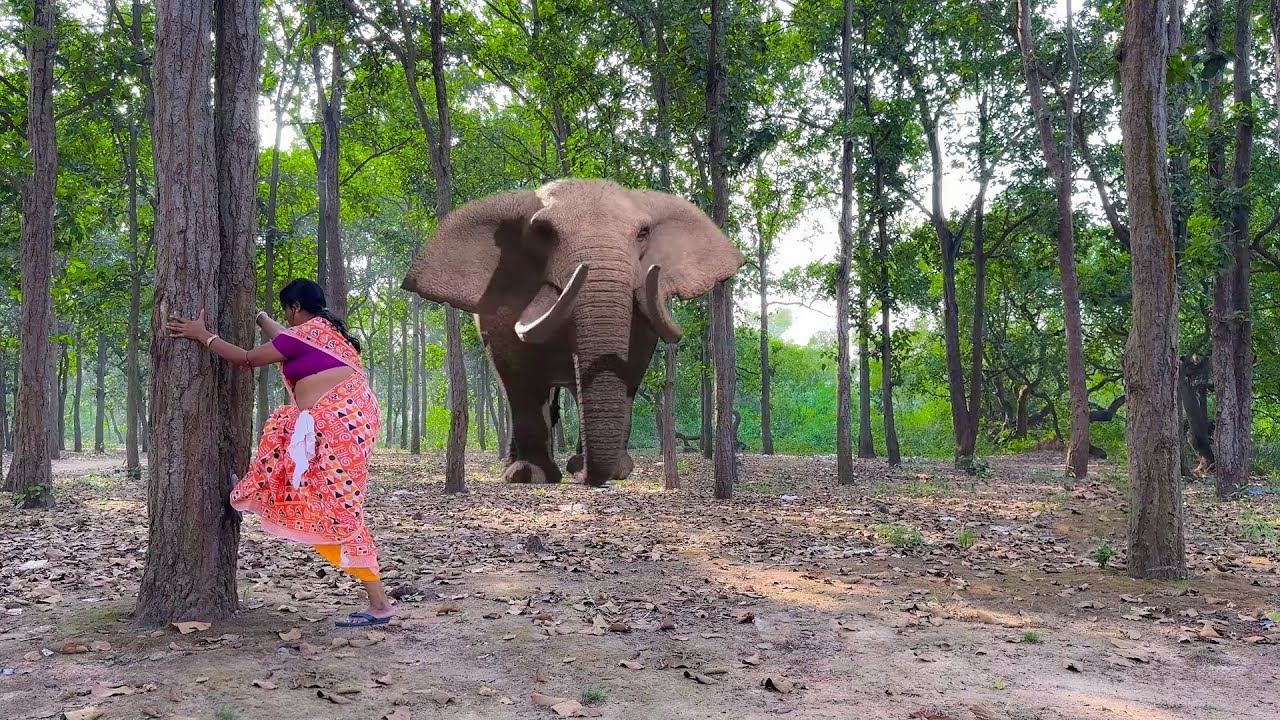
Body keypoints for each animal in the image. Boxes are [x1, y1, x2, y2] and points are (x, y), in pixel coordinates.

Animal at [401, 179, 744, 486]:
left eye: (643, 233)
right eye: (544, 233)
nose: (585, 476)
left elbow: (631, 366)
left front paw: (615, 472)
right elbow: (519, 372)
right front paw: (533, 475)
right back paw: (517, 470)